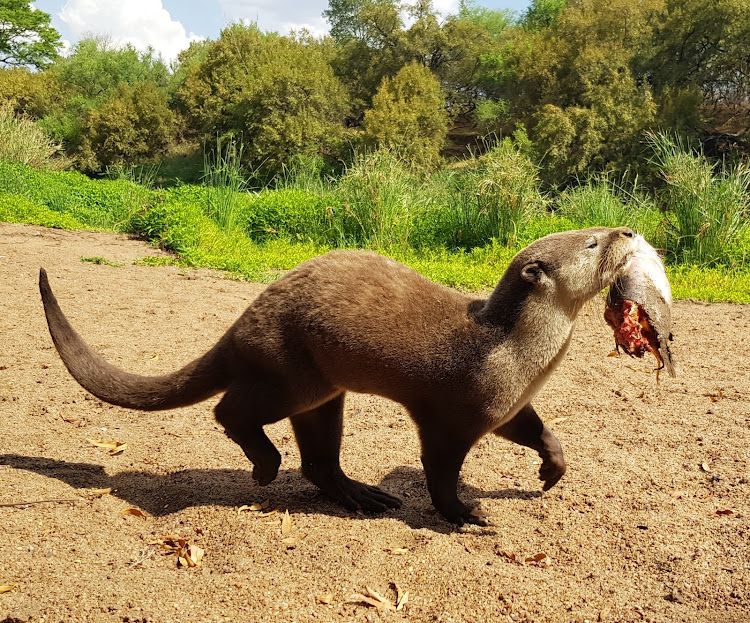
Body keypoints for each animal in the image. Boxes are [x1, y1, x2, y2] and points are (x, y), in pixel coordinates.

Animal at [39, 227, 640, 524]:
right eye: (592, 242)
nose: (629, 229)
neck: (510, 352)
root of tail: (243, 321)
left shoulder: (506, 405)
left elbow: (535, 430)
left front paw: (552, 469)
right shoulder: (449, 416)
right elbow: (439, 471)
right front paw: (465, 513)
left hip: (323, 396)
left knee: (317, 462)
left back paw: (361, 495)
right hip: (290, 375)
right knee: (229, 411)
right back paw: (265, 467)